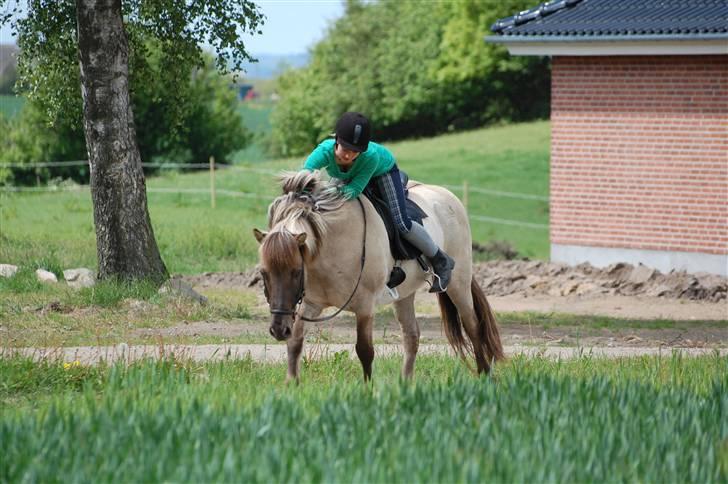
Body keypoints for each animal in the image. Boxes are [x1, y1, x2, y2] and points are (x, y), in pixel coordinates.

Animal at [253, 170, 504, 382]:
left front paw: (368, 390)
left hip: (458, 284)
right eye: (264, 272)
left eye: (296, 272)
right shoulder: (312, 304)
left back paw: (485, 376)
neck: (329, 245)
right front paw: (291, 385)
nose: (278, 330)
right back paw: (406, 384)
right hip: (405, 295)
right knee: (411, 336)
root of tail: (449, 198)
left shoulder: (365, 306)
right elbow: (295, 343)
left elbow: (364, 350)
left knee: (473, 326)